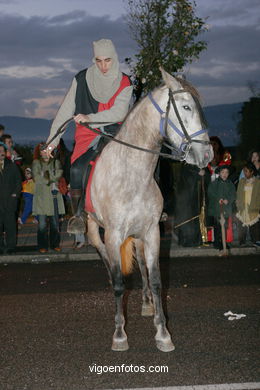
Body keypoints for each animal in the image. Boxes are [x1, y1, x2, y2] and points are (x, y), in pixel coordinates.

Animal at [86, 68, 213, 352]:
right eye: (186, 107)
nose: (208, 155)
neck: (132, 174)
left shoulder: (152, 232)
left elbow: (155, 280)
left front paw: (162, 332)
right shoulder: (113, 235)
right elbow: (119, 282)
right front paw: (119, 334)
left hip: (137, 237)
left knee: (142, 267)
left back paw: (146, 303)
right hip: (97, 233)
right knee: (109, 265)